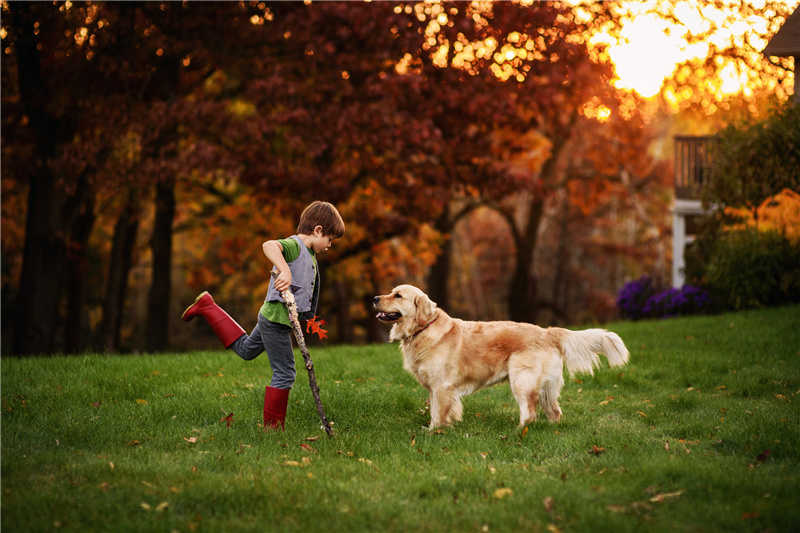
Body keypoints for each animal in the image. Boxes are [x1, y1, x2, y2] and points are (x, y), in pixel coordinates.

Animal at [376, 282, 632, 428]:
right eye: (391, 292)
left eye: (398, 295)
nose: (375, 298)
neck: (423, 328)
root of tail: (548, 331)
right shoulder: (434, 389)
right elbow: (434, 413)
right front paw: (431, 430)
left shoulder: (442, 386)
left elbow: (439, 414)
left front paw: (435, 433)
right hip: (547, 386)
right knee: (554, 412)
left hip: (522, 380)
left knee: (529, 413)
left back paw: (517, 433)